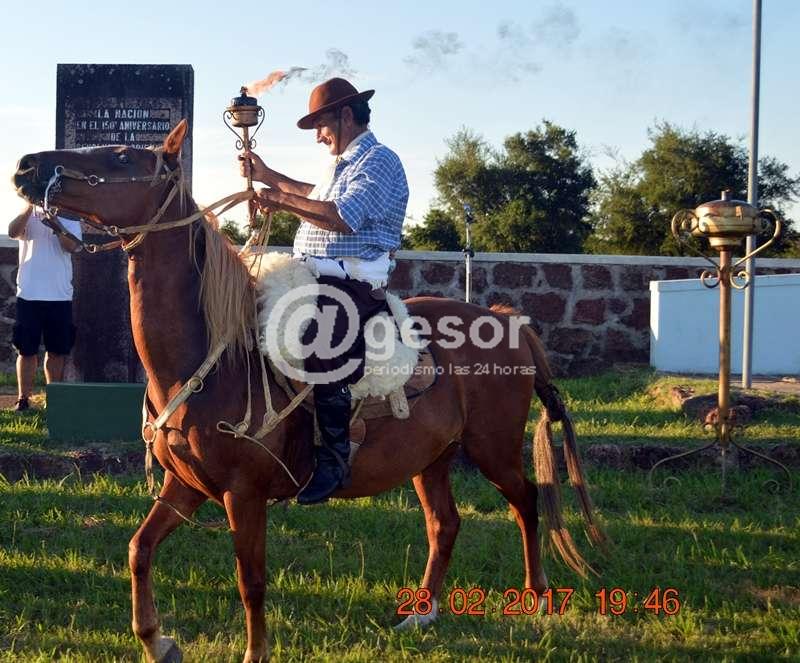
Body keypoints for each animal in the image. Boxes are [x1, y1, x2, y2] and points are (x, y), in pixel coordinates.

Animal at [13, 119, 605, 663]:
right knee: (445, 524)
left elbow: (251, 580)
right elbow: (139, 549)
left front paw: (254, 653)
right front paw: (158, 641)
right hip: (432, 458)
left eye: (120, 155)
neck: (213, 359)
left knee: (527, 502)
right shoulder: (184, 486)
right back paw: (421, 613)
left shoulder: (243, 494)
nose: (26, 165)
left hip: (492, 447)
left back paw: (536, 596)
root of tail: (509, 321)